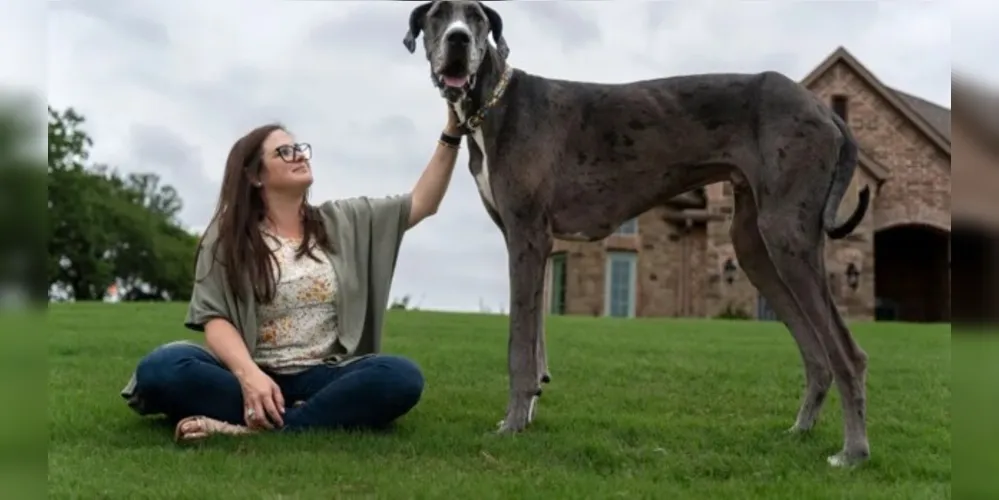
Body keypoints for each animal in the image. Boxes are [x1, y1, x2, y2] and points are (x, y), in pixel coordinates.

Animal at [402, 0, 872, 468]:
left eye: (477, 17)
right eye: (438, 15)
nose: (458, 39)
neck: (494, 104)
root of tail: (826, 110)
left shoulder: (526, 236)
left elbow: (519, 345)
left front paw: (513, 424)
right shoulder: (533, 245)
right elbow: (535, 341)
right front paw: (528, 412)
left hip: (786, 235)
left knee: (848, 353)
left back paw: (853, 452)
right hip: (754, 246)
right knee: (817, 354)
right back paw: (801, 430)